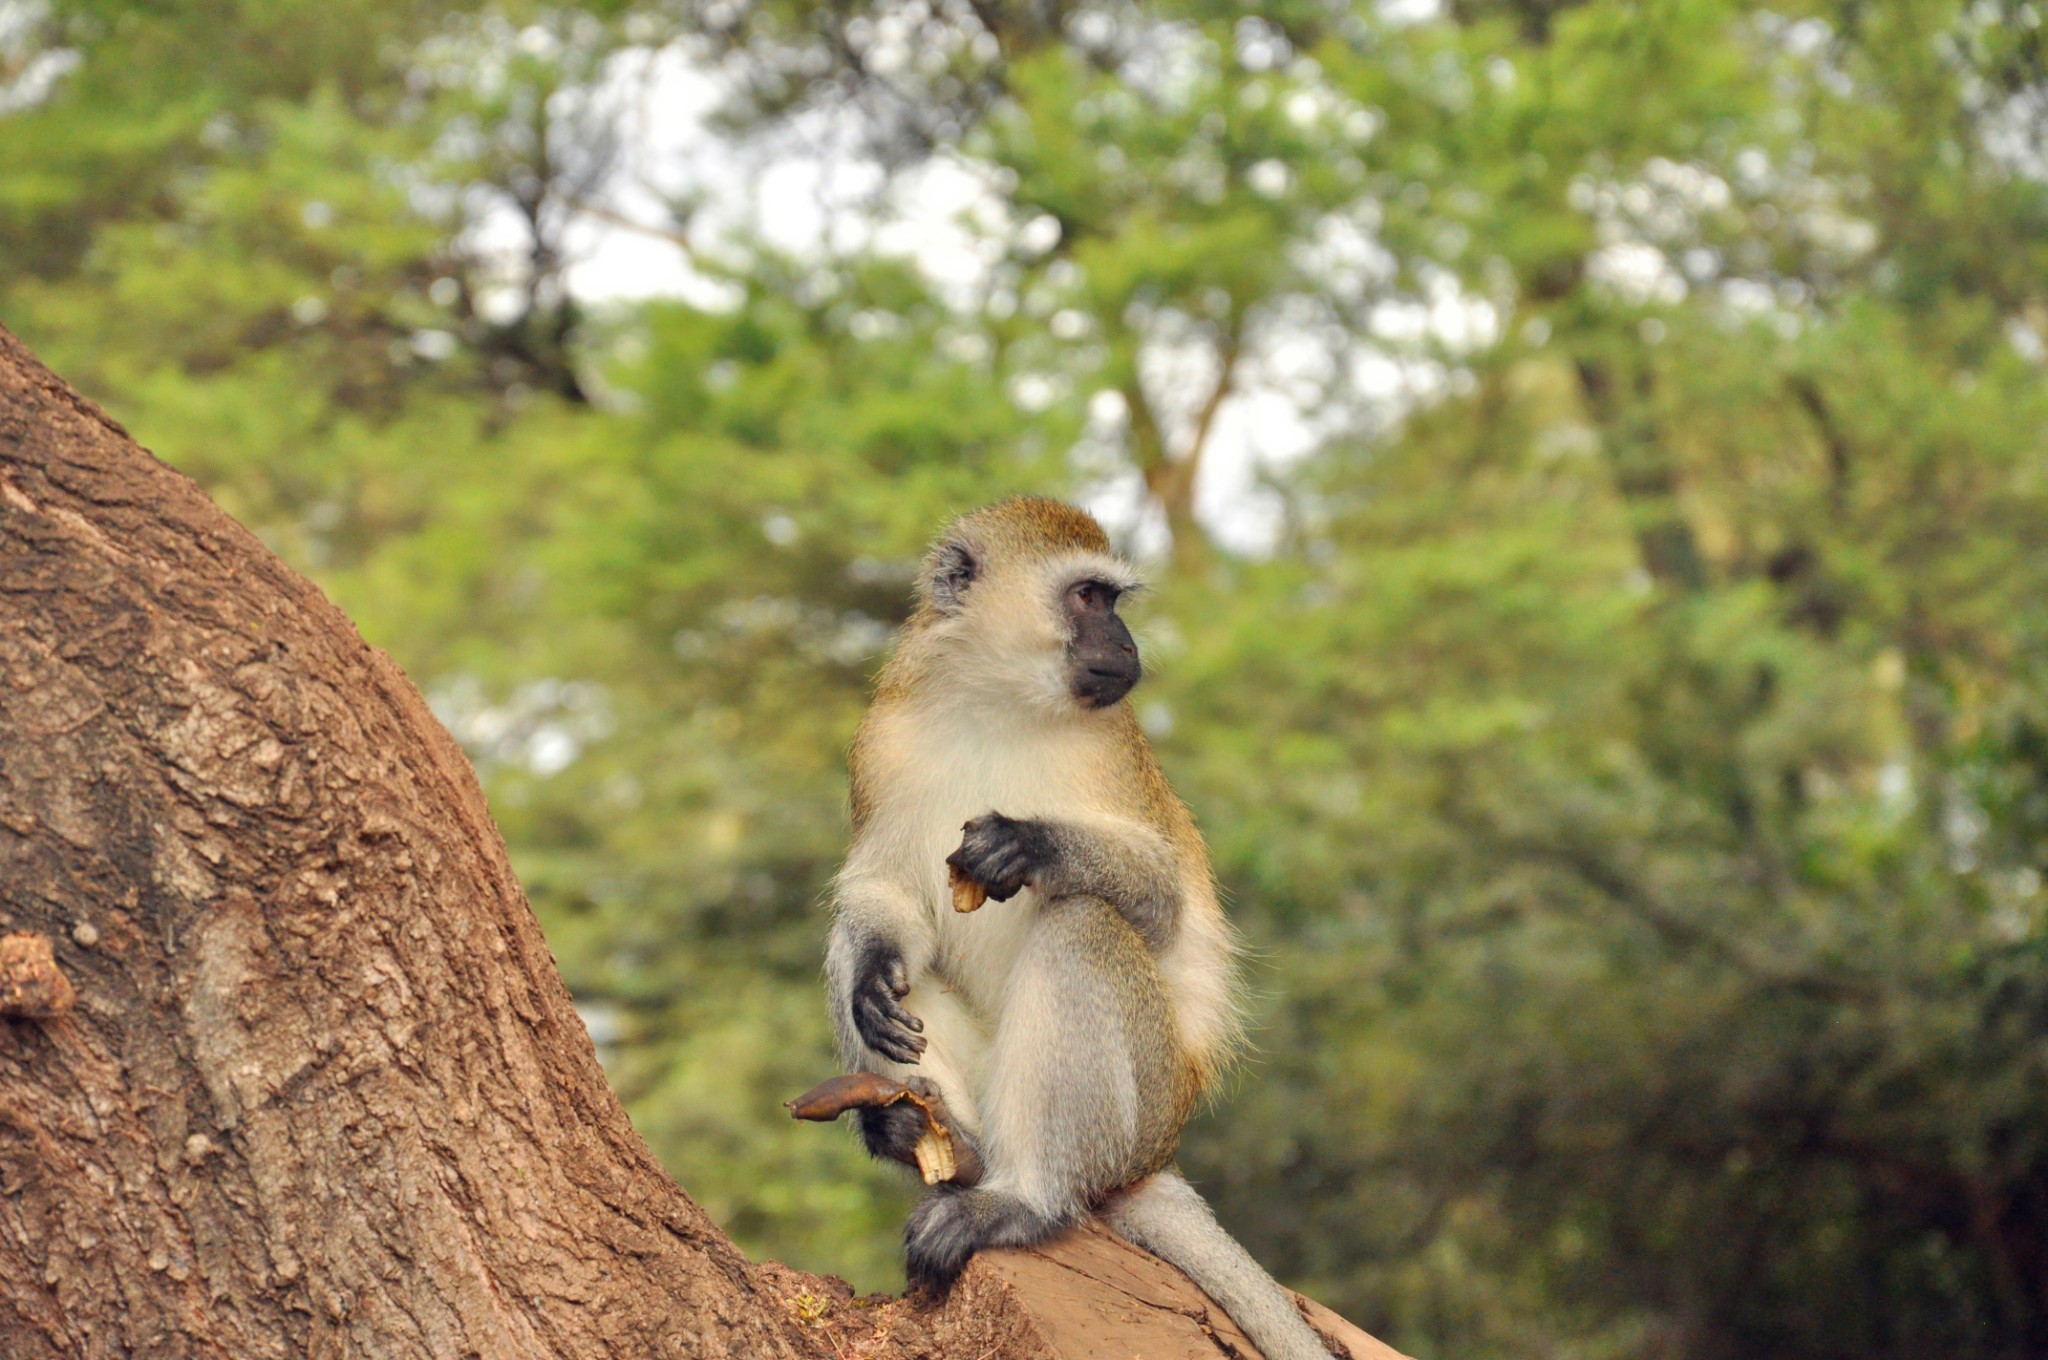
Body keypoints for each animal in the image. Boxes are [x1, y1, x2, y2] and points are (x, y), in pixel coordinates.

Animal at [823, 499, 1335, 1360]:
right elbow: (883, 892)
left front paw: (1031, 844)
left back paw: (1025, 1200)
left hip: (1142, 1107)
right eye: (1089, 598)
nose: (1125, 644)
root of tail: (1154, 1156)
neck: (1000, 704)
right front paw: (870, 971)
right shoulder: (883, 739)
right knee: (901, 982)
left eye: (1112, 599)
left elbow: (1161, 899)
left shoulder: (1114, 749)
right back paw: (925, 1134)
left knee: (1082, 924)